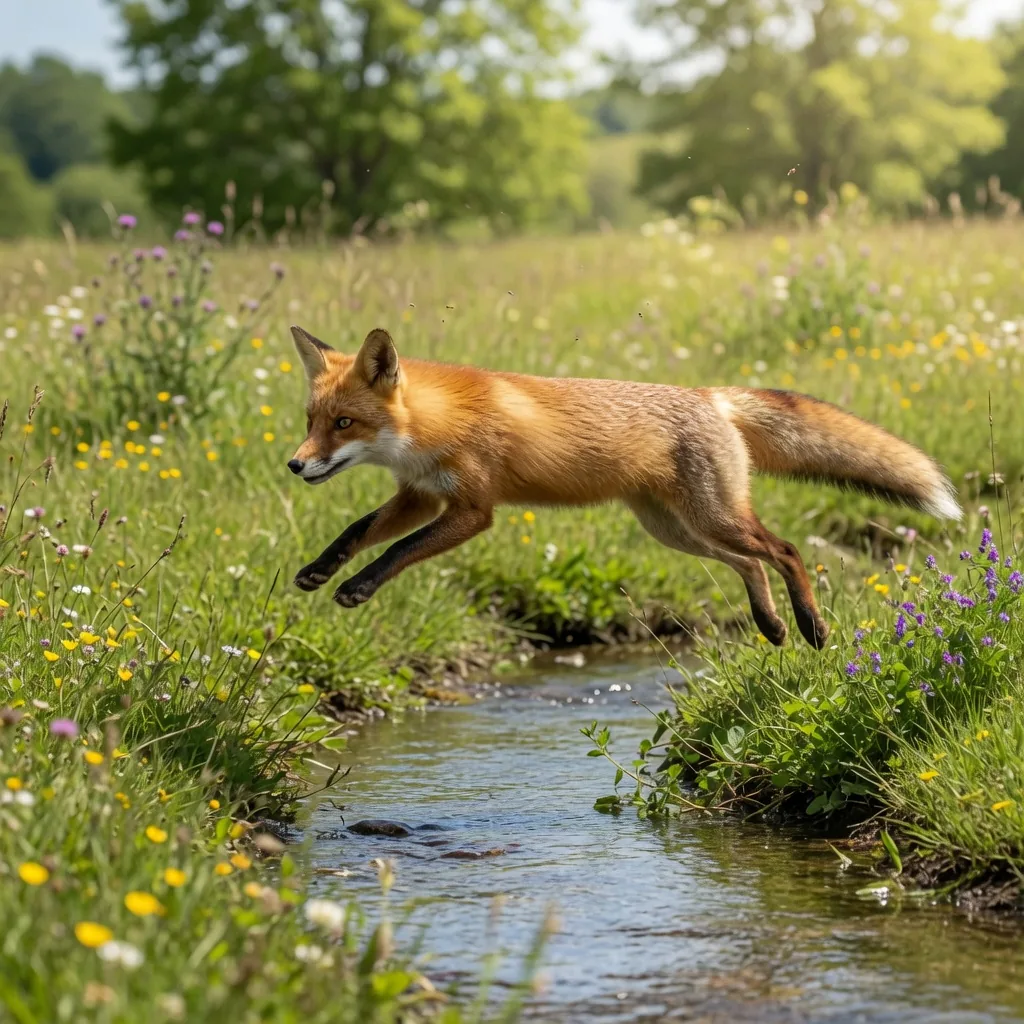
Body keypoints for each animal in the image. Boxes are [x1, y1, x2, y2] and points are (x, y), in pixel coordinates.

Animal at [286, 325, 961, 649]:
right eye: (311, 420)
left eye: (344, 424)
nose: (294, 466)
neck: (433, 423)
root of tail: (709, 395)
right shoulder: (421, 494)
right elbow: (358, 530)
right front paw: (320, 570)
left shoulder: (474, 510)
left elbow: (398, 550)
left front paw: (357, 587)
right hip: (676, 530)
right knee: (751, 563)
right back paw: (770, 626)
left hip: (711, 518)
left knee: (787, 551)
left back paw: (811, 628)